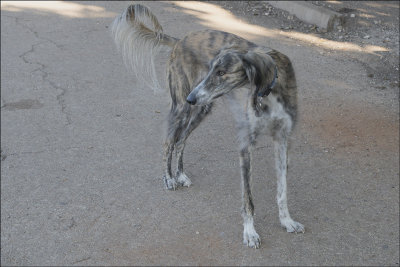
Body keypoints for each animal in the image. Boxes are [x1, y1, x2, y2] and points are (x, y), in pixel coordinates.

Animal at [111, 3, 304, 249]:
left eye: (222, 72)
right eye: (211, 68)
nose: (192, 97)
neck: (268, 91)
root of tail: (180, 40)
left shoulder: (282, 140)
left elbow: (282, 190)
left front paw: (287, 221)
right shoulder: (246, 143)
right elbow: (248, 198)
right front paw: (250, 233)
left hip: (201, 108)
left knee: (181, 140)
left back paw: (180, 174)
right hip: (181, 107)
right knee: (168, 141)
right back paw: (168, 178)